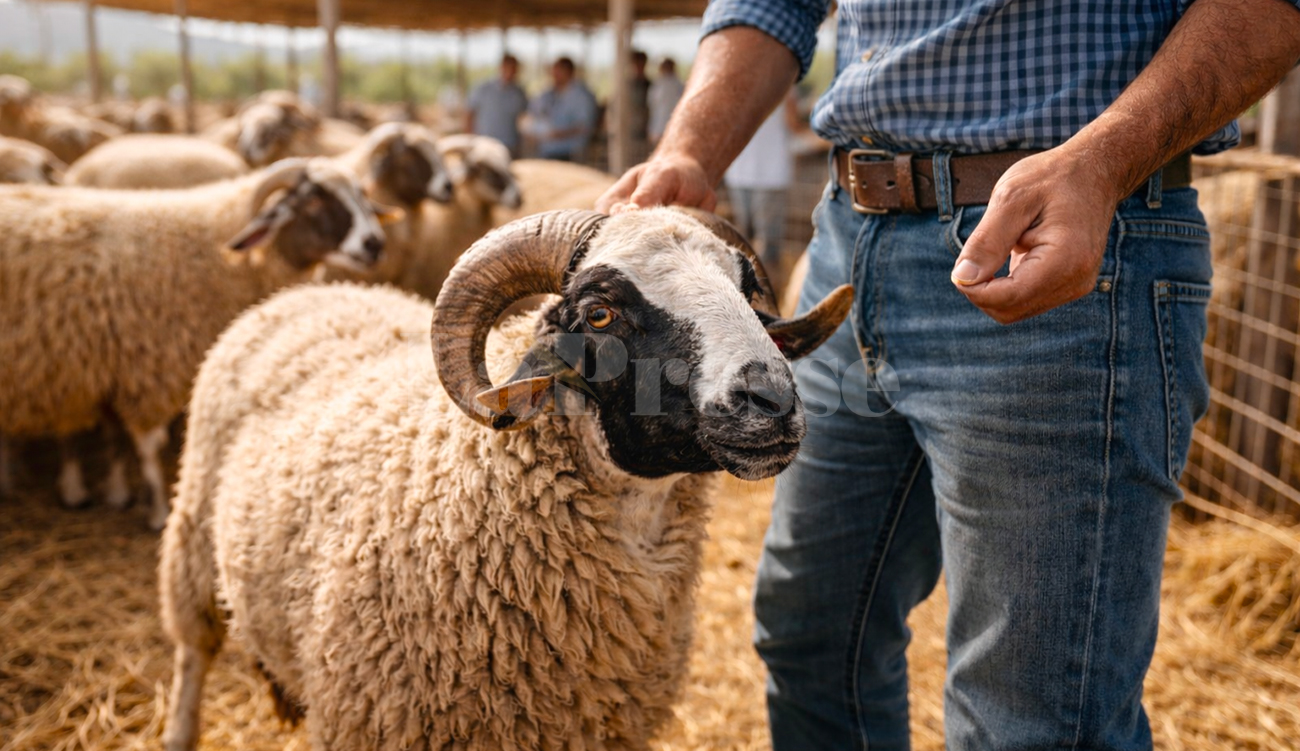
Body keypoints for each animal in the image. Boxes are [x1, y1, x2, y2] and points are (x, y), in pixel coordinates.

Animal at [0, 157, 394, 528]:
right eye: (313, 200)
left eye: (362, 197)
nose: (375, 244)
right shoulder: (146, 368)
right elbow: (147, 447)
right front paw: (158, 511)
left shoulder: (111, 364)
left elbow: (115, 436)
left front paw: (117, 492)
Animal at [159, 206, 855, 751]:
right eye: (598, 314)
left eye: (747, 290)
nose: (772, 402)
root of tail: (302, 294)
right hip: (192, 537)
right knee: (194, 649)